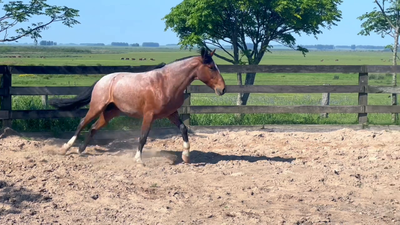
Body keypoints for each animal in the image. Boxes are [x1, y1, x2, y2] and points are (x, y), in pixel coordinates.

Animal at [48, 48, 227, 163]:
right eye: (211, 67)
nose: (223, 89)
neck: (166, 83)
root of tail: (103, 79)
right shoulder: (149, 115)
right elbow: (143, 136)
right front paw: (138, 159)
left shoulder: (172, 113)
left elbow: (183, 129)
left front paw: (186, 157)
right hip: (97, 107)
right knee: (82, 123)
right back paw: (65, 148)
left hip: (110, 113)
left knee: (93, 128)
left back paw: (80, 150)